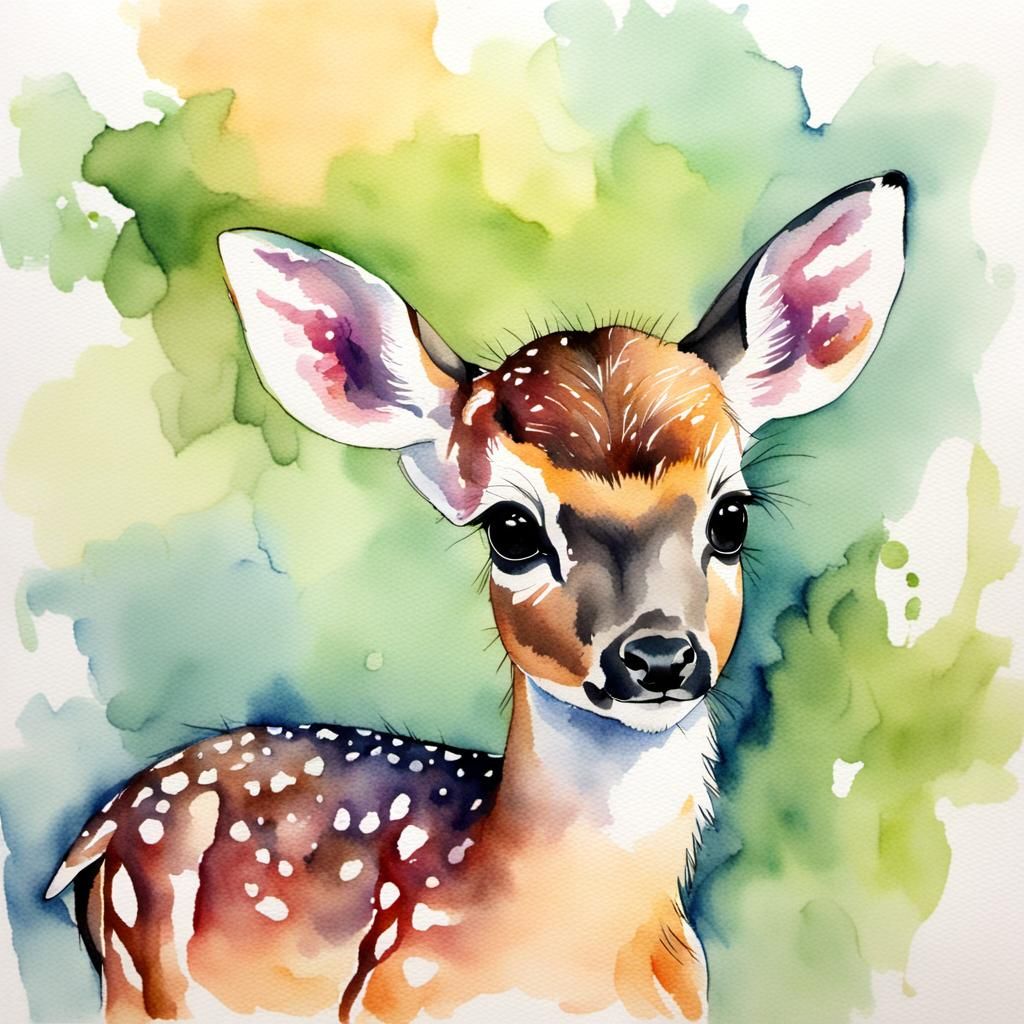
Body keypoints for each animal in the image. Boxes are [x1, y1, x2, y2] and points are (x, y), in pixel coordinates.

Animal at [44, 172, 907, 1023]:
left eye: (731, 515)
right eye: (512, 528)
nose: (660, 654)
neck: (568, 965)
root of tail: (101, 826)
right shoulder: (387, 1002)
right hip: (140, 967)